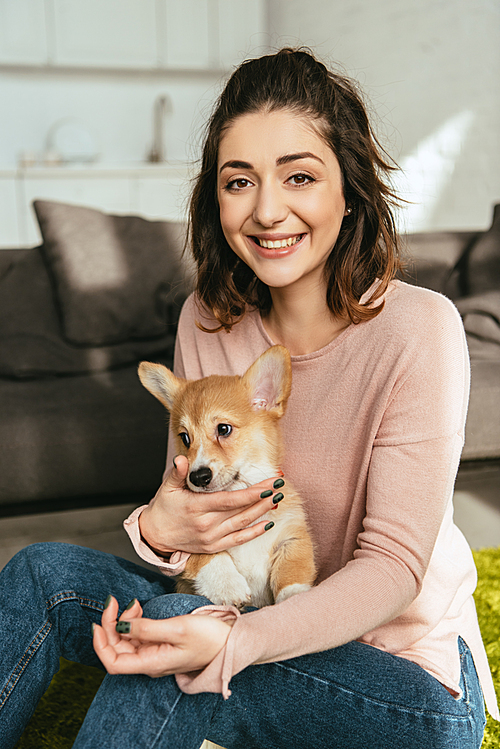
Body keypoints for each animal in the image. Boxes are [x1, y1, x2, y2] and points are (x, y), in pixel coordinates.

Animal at [139, 344, 314, 608]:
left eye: (223, 429)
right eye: (185, 438)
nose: (198, 477)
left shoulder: (292, 538)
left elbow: (293, 574)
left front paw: (295, 599)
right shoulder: (188, 543)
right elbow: (207, 556)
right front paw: (227, 585)